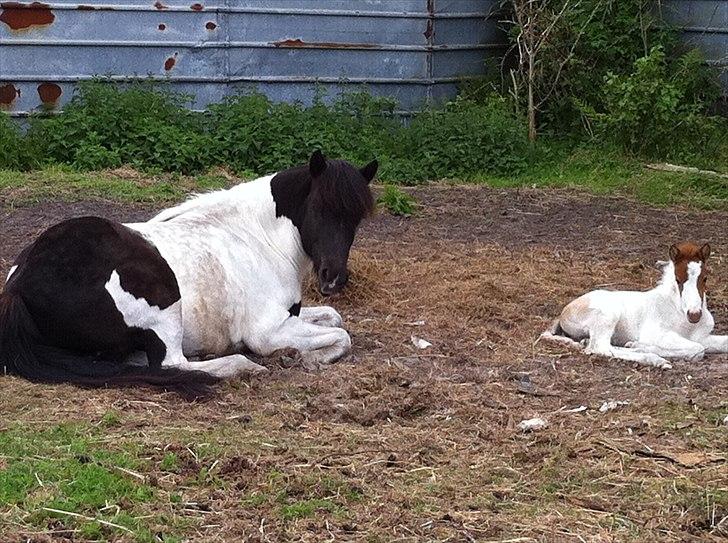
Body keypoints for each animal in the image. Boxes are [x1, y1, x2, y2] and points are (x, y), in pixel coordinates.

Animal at [0, 151, 376, 398]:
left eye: (356, 217)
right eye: (319, 208)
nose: (333, 277)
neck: (258, 238)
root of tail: (20, 283)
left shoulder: (294, 316)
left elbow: (335, 318)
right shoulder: (268, 331)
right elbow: (342, 336)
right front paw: (304, 358)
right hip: (165, 302)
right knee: (170, 364)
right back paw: (241, 366)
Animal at [540, 242, 728, 370]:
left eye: (705, 278)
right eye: (678, 279)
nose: (694, 314)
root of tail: (565, 311)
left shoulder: (701, 336)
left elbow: (712, 345)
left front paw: (636, 345)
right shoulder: (656, 333)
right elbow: (697, 350)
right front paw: (641, 346)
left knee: (595, 344)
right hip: (608, 314)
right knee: (600, 347)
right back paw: (654, 359)